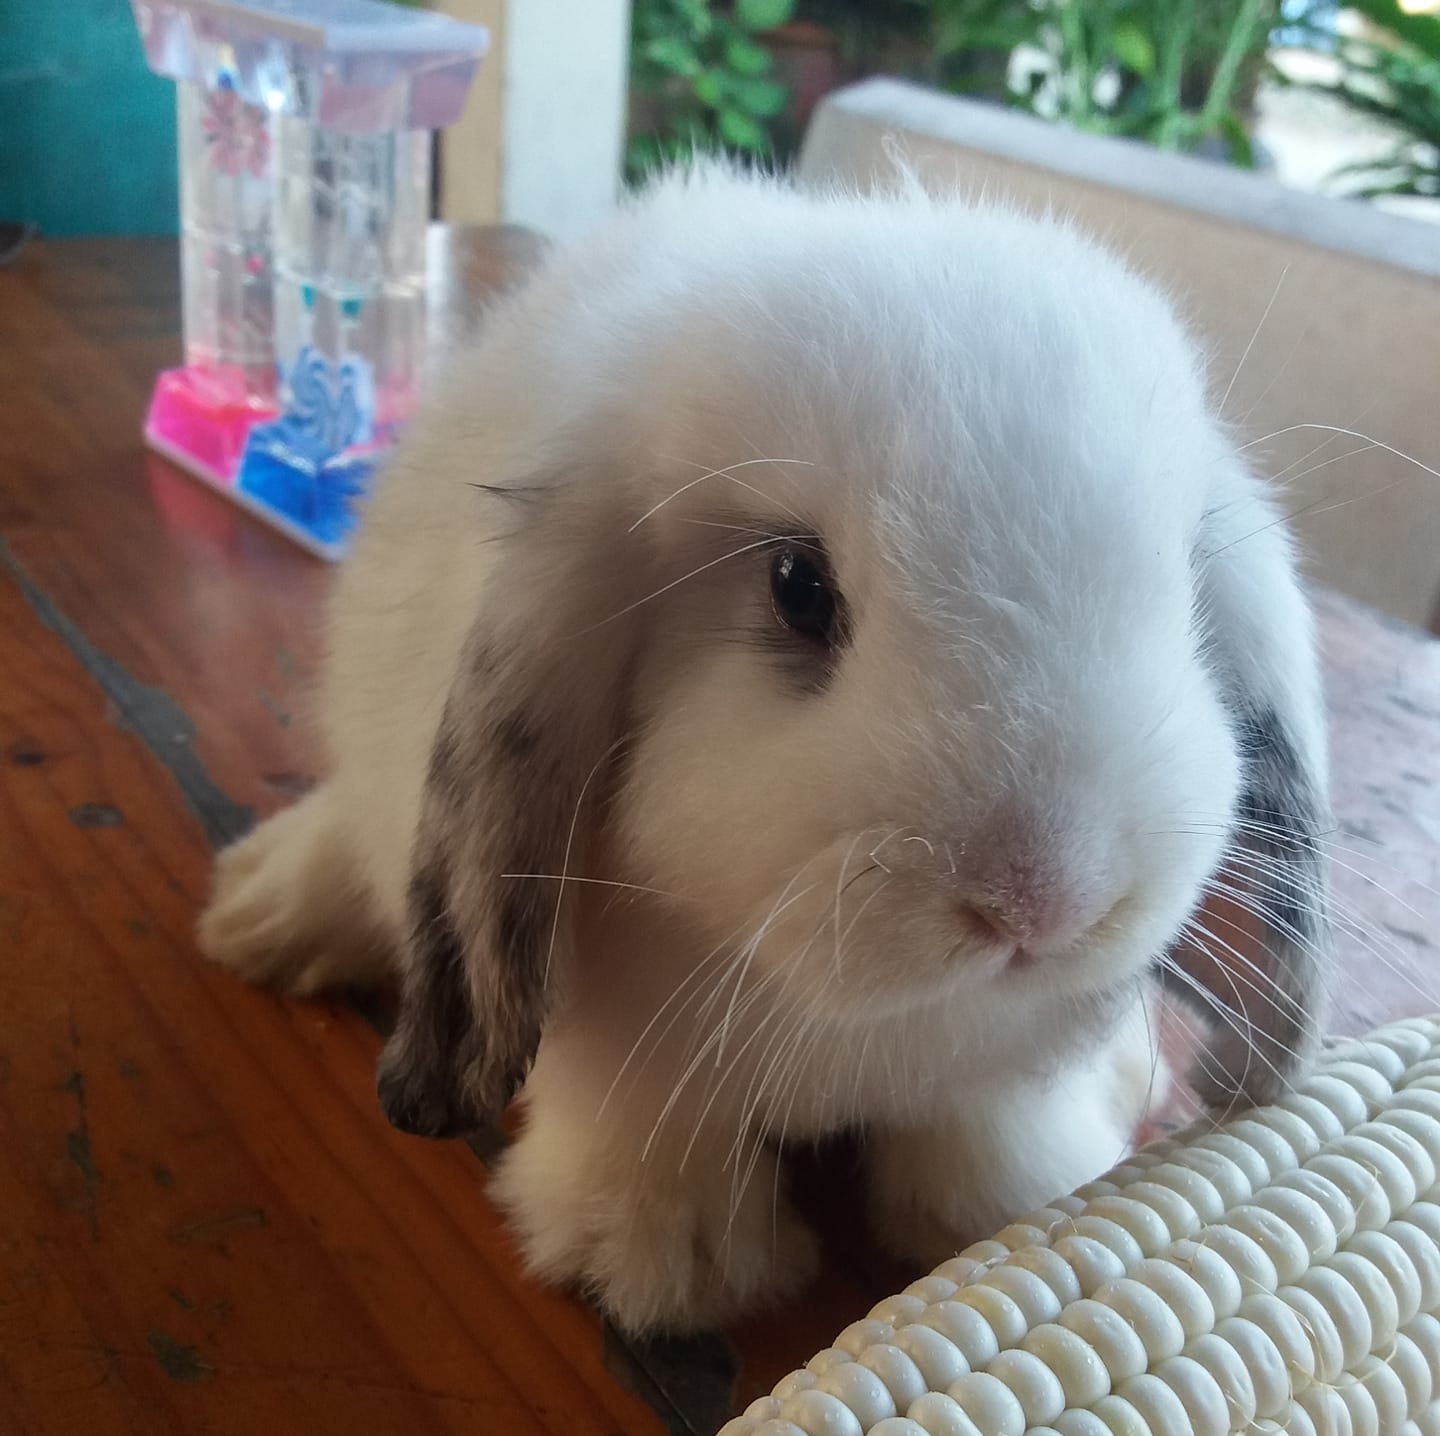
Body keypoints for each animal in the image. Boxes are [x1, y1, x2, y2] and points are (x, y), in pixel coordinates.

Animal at [199, 164, 1332, 1336]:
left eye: (1186, 599)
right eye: (797, 587)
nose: (1040, 901)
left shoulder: (994, 1081)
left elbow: (985, 1134)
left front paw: (1000, 1213)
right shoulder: (621, 1063)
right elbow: (643, 1133)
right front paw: (666, 1270)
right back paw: (255, 913)